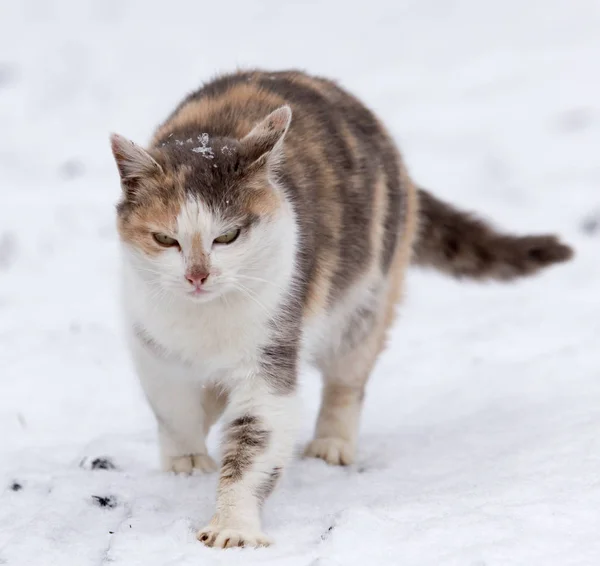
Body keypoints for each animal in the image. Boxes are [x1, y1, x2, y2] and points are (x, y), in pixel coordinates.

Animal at [110, 67, 576, 552]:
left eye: (228, 236)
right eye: (165, 239)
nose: (197, 276)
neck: (206, 322)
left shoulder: (272, 352)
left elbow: (254, 440)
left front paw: (232, 526)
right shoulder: (152, 347)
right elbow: (173, 409)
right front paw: (186, 461)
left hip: (366, 304)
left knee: (347, 381)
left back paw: (331, 444)